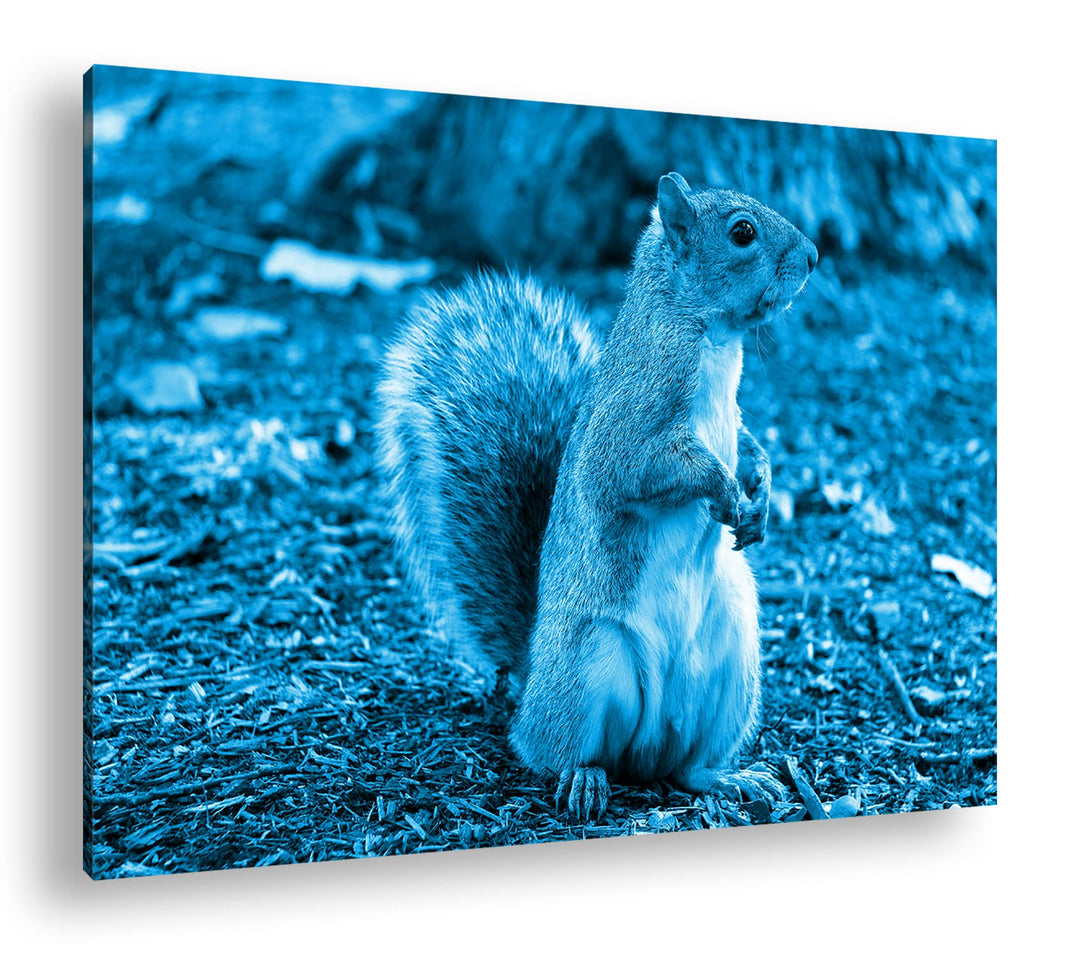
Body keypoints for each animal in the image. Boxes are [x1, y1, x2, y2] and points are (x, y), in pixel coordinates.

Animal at [374, 173, 818, 820]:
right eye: (742, 233)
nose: (813, 257)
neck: (711, 338)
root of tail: (531, 677)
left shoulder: (730, 419)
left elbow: (747, 444)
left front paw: (759, 495)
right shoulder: (631, 427)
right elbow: (649, 470)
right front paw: (726, 491)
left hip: (733, 664)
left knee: (685, 768)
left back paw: (729, 778)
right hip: (589, 668)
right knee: (553, 751)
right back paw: (584, 778)